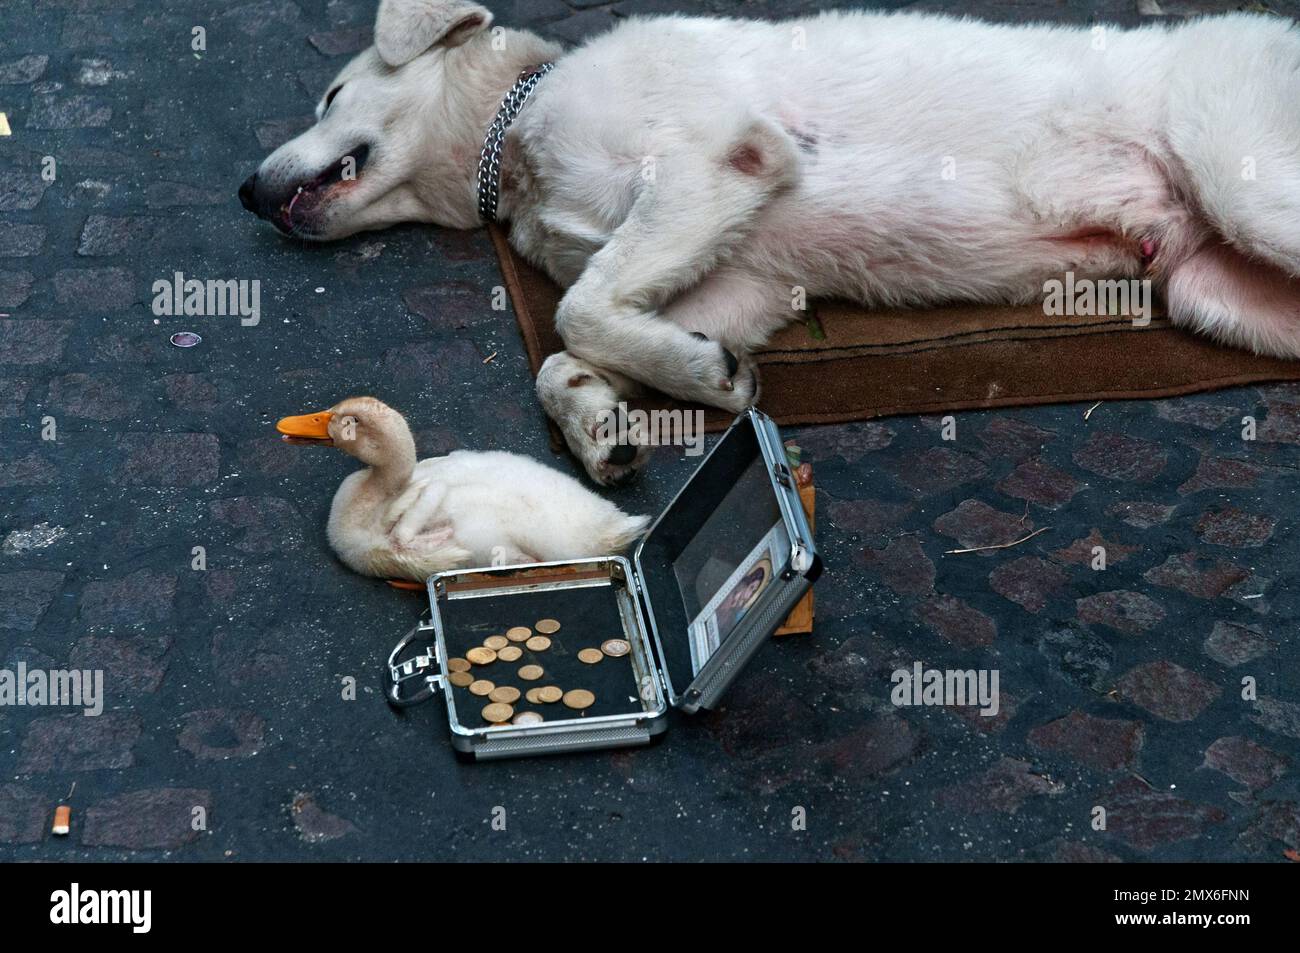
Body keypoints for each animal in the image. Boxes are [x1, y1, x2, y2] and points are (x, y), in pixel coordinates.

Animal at [241, 1, 1300, 483]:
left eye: (332, 94)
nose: (246, 193)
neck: (523, 133)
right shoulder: (739, 277)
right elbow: (578, 346)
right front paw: (611, 417)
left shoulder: (715, 162)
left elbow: (578, 311)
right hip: (1214, 288)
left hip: (1246, 181)